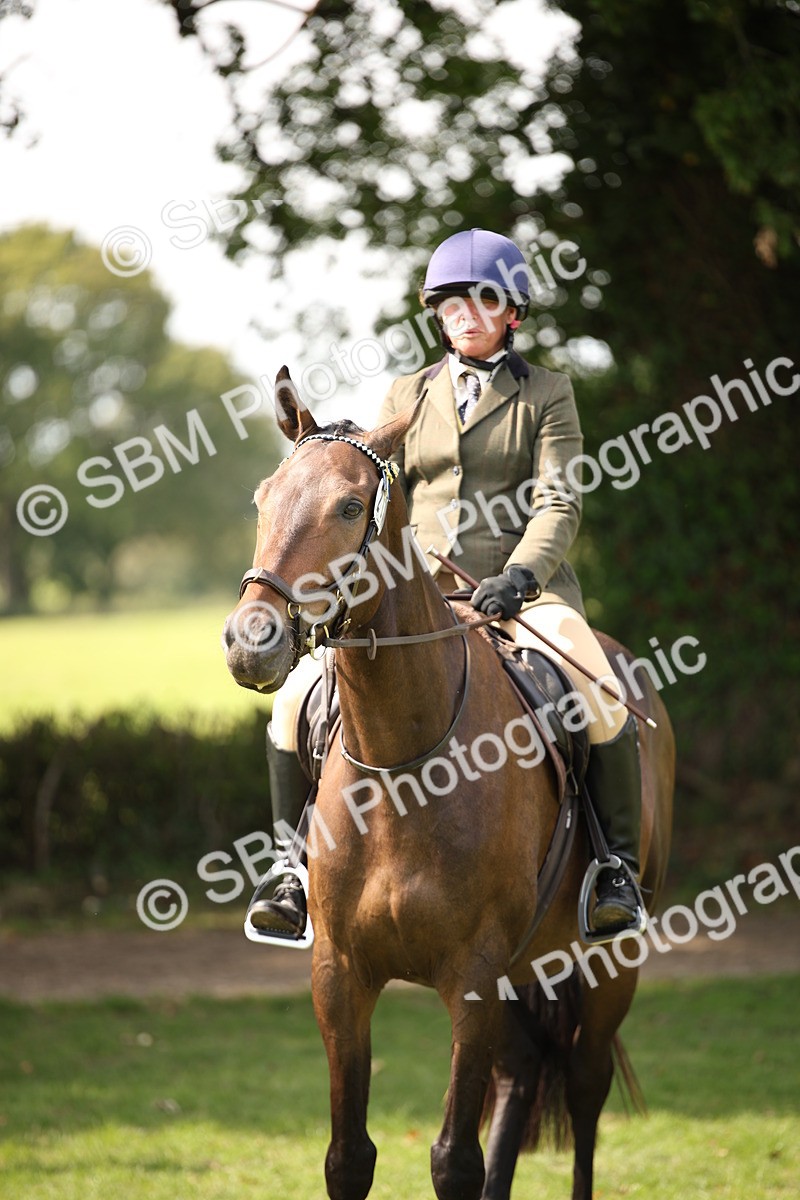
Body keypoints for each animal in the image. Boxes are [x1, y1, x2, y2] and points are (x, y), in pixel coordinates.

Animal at [222, 368, 674, 1200]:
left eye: (348, 507)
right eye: (265, 498)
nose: (249, 642)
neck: (402, 761)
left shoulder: (472, 975)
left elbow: (453, 1159)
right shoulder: (340, 978)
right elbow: (348, 1156)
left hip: (606, 965)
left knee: (585, 1087)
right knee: (523, 1077)